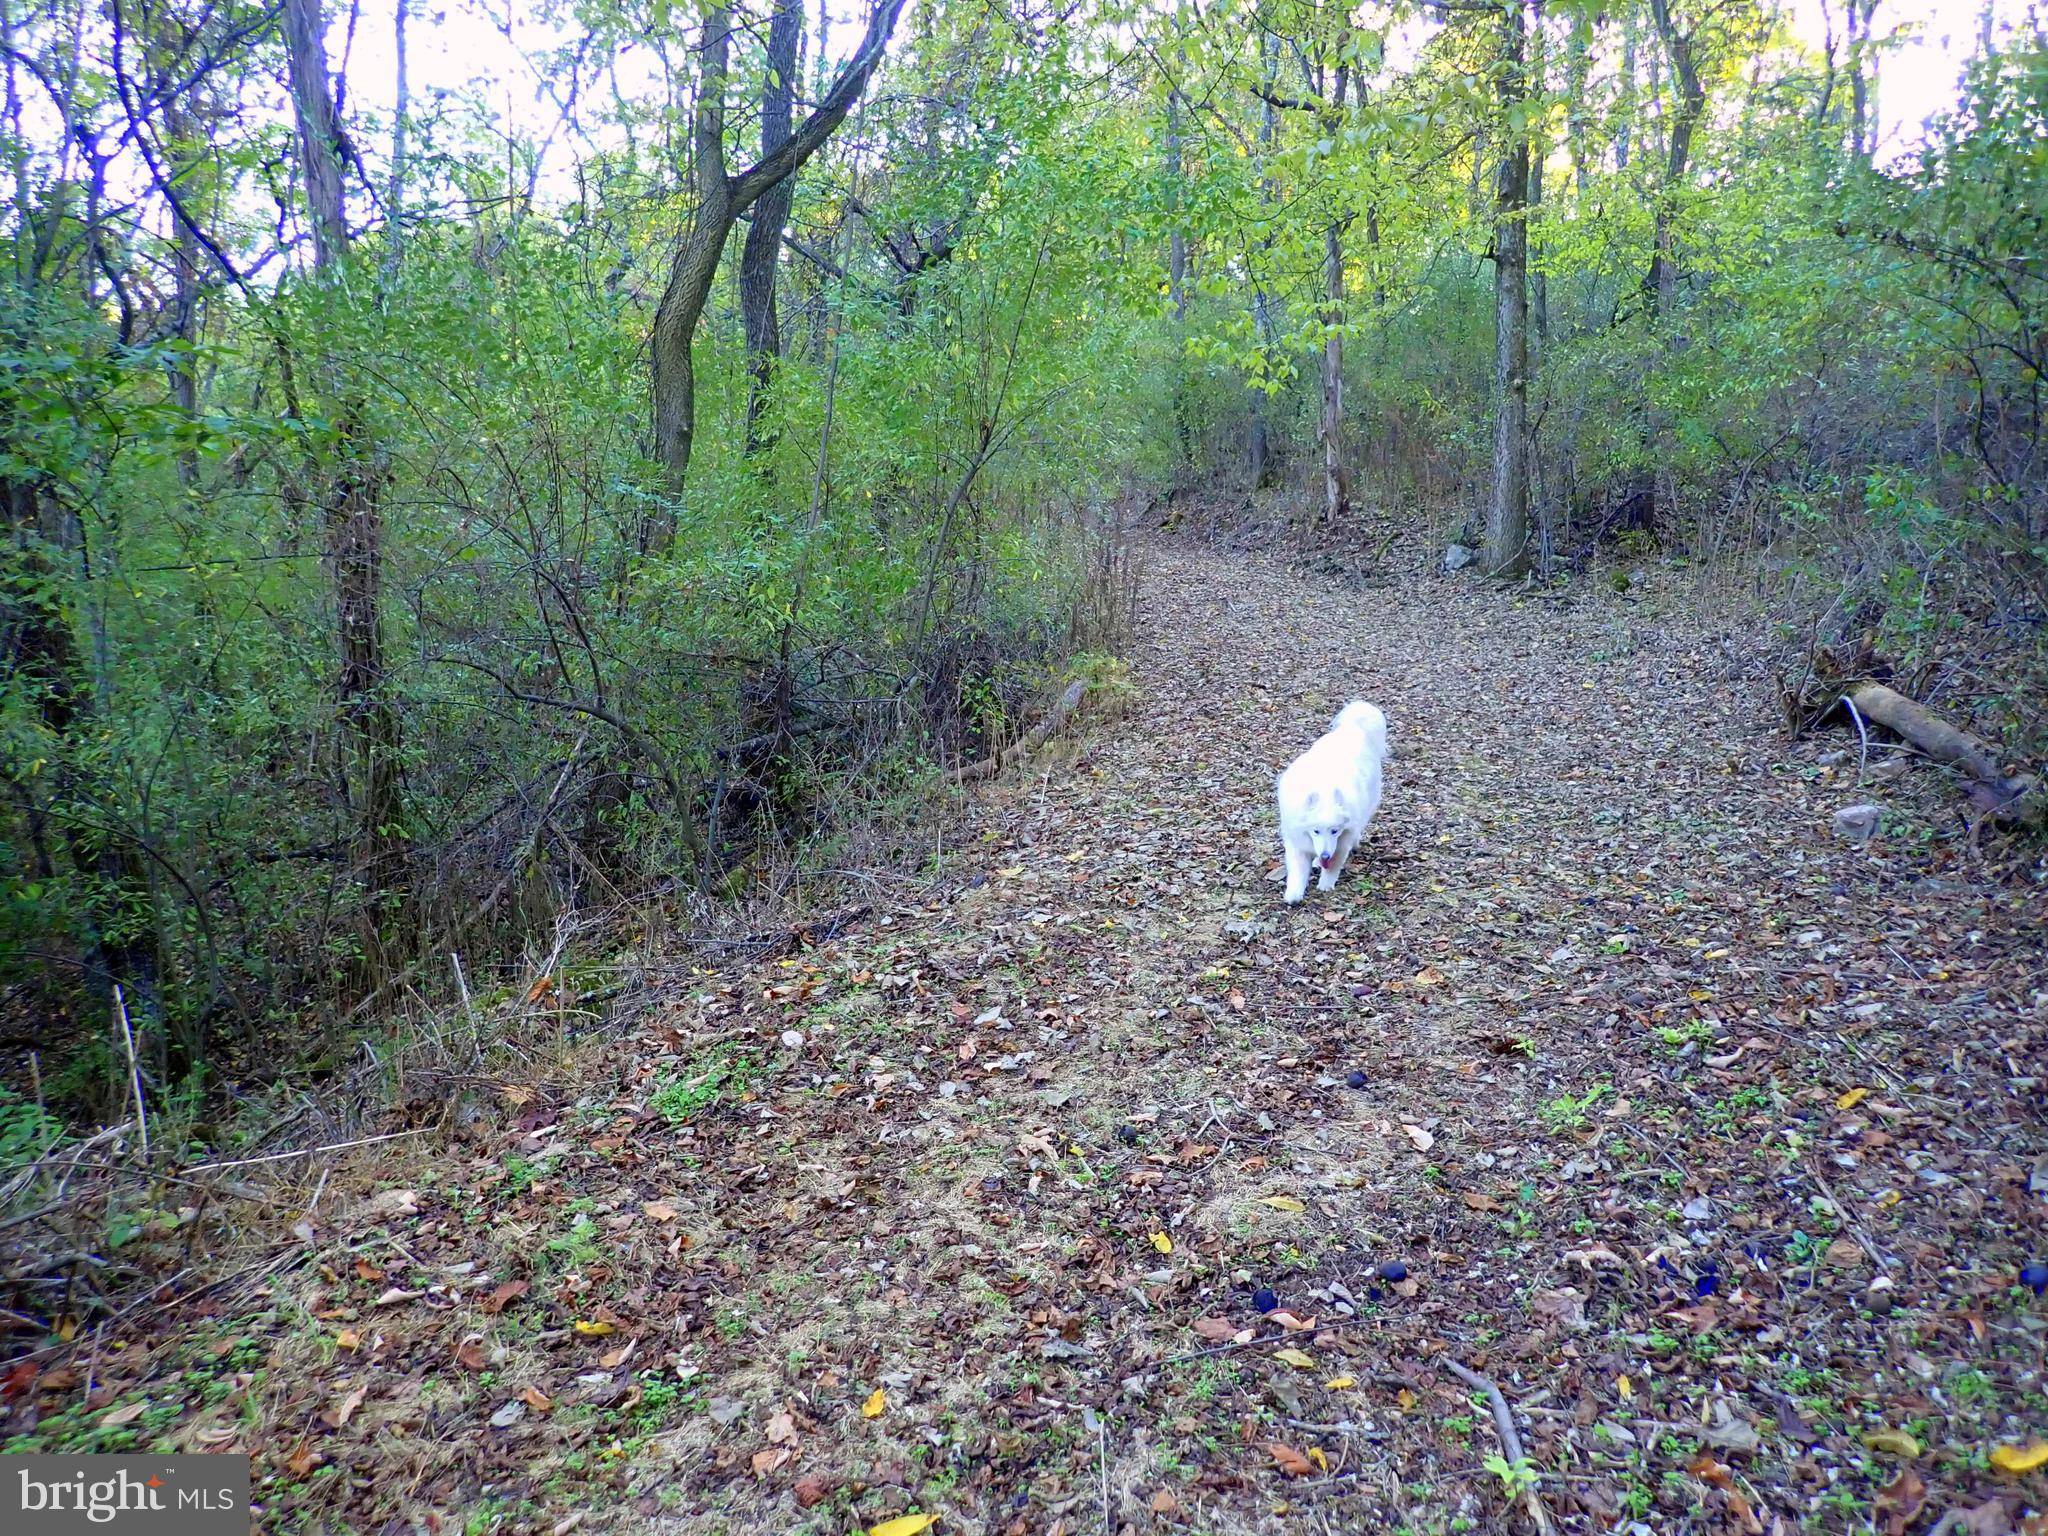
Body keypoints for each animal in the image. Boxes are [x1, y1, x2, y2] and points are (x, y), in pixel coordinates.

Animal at [1277, 708, 1392, 909]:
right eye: (1315, 830)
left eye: (1334, 831)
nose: (1324, 854)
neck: (1325, 792)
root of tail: (1352, 727)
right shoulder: (1297, 841)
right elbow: (1297, 870)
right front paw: (1294, 894)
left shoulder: (1341, 843)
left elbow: (1335, 864)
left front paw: (1325, 885)